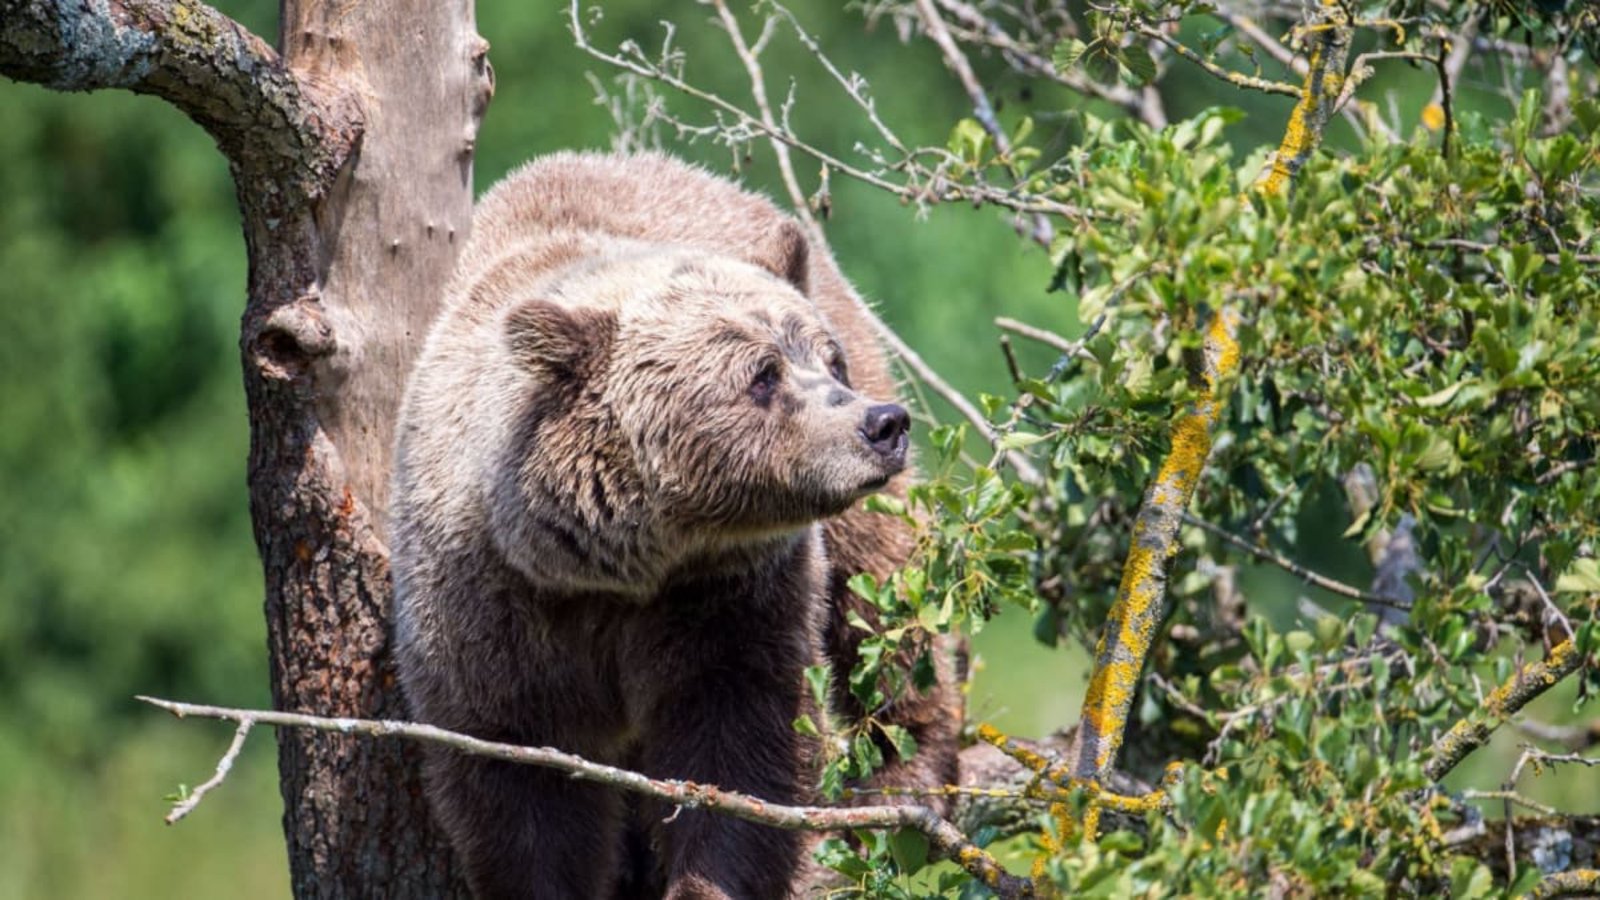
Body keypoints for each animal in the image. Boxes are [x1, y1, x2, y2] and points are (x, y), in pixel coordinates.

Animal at [390, 151, 961, 899]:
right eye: (763, 374)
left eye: (826, 358)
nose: (882, 424)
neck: (622, 565)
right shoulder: (491, 610)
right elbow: (518, 782)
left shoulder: (728, 599)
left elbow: (741, 749)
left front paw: (705, 879)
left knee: (883, 601)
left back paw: (908, 781)